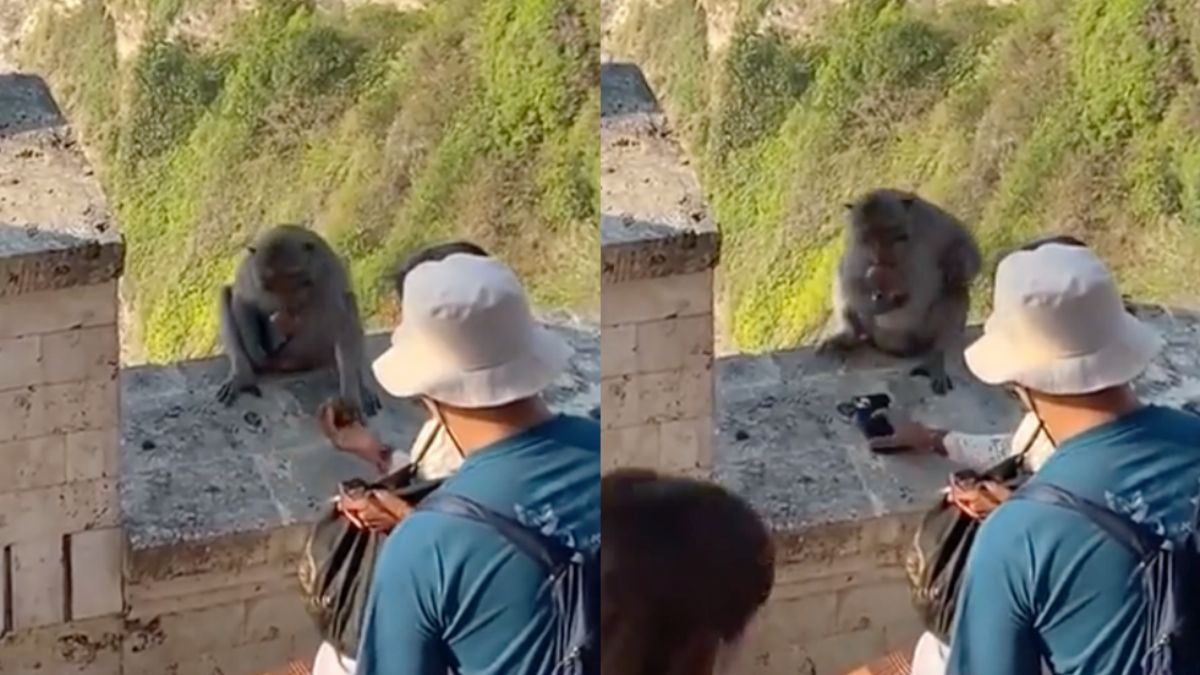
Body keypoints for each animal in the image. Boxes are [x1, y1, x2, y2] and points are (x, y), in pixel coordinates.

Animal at [216, 223, 379, 415]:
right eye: (268, 285)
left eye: (294, 278)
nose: (285, 309)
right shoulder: (249, 273)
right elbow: (241, 300)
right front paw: (254, 349)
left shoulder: (327, 277)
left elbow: (343, 322)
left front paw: (350, 399)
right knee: (225, 294)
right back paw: (243, 375)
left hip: (308, 352)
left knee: (348, 304)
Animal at [816, 186, 984, 393]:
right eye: (868, 238)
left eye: (895, 236)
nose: (881, 257)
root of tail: (898, 346)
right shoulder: (855, 248)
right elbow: (850, 278)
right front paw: (880, 303)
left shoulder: (930, 221)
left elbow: (963, 245)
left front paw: (955, 267)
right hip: (875, 332)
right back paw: (849, 335)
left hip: (923, 332)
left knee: (956, 293)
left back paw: (939, 357)